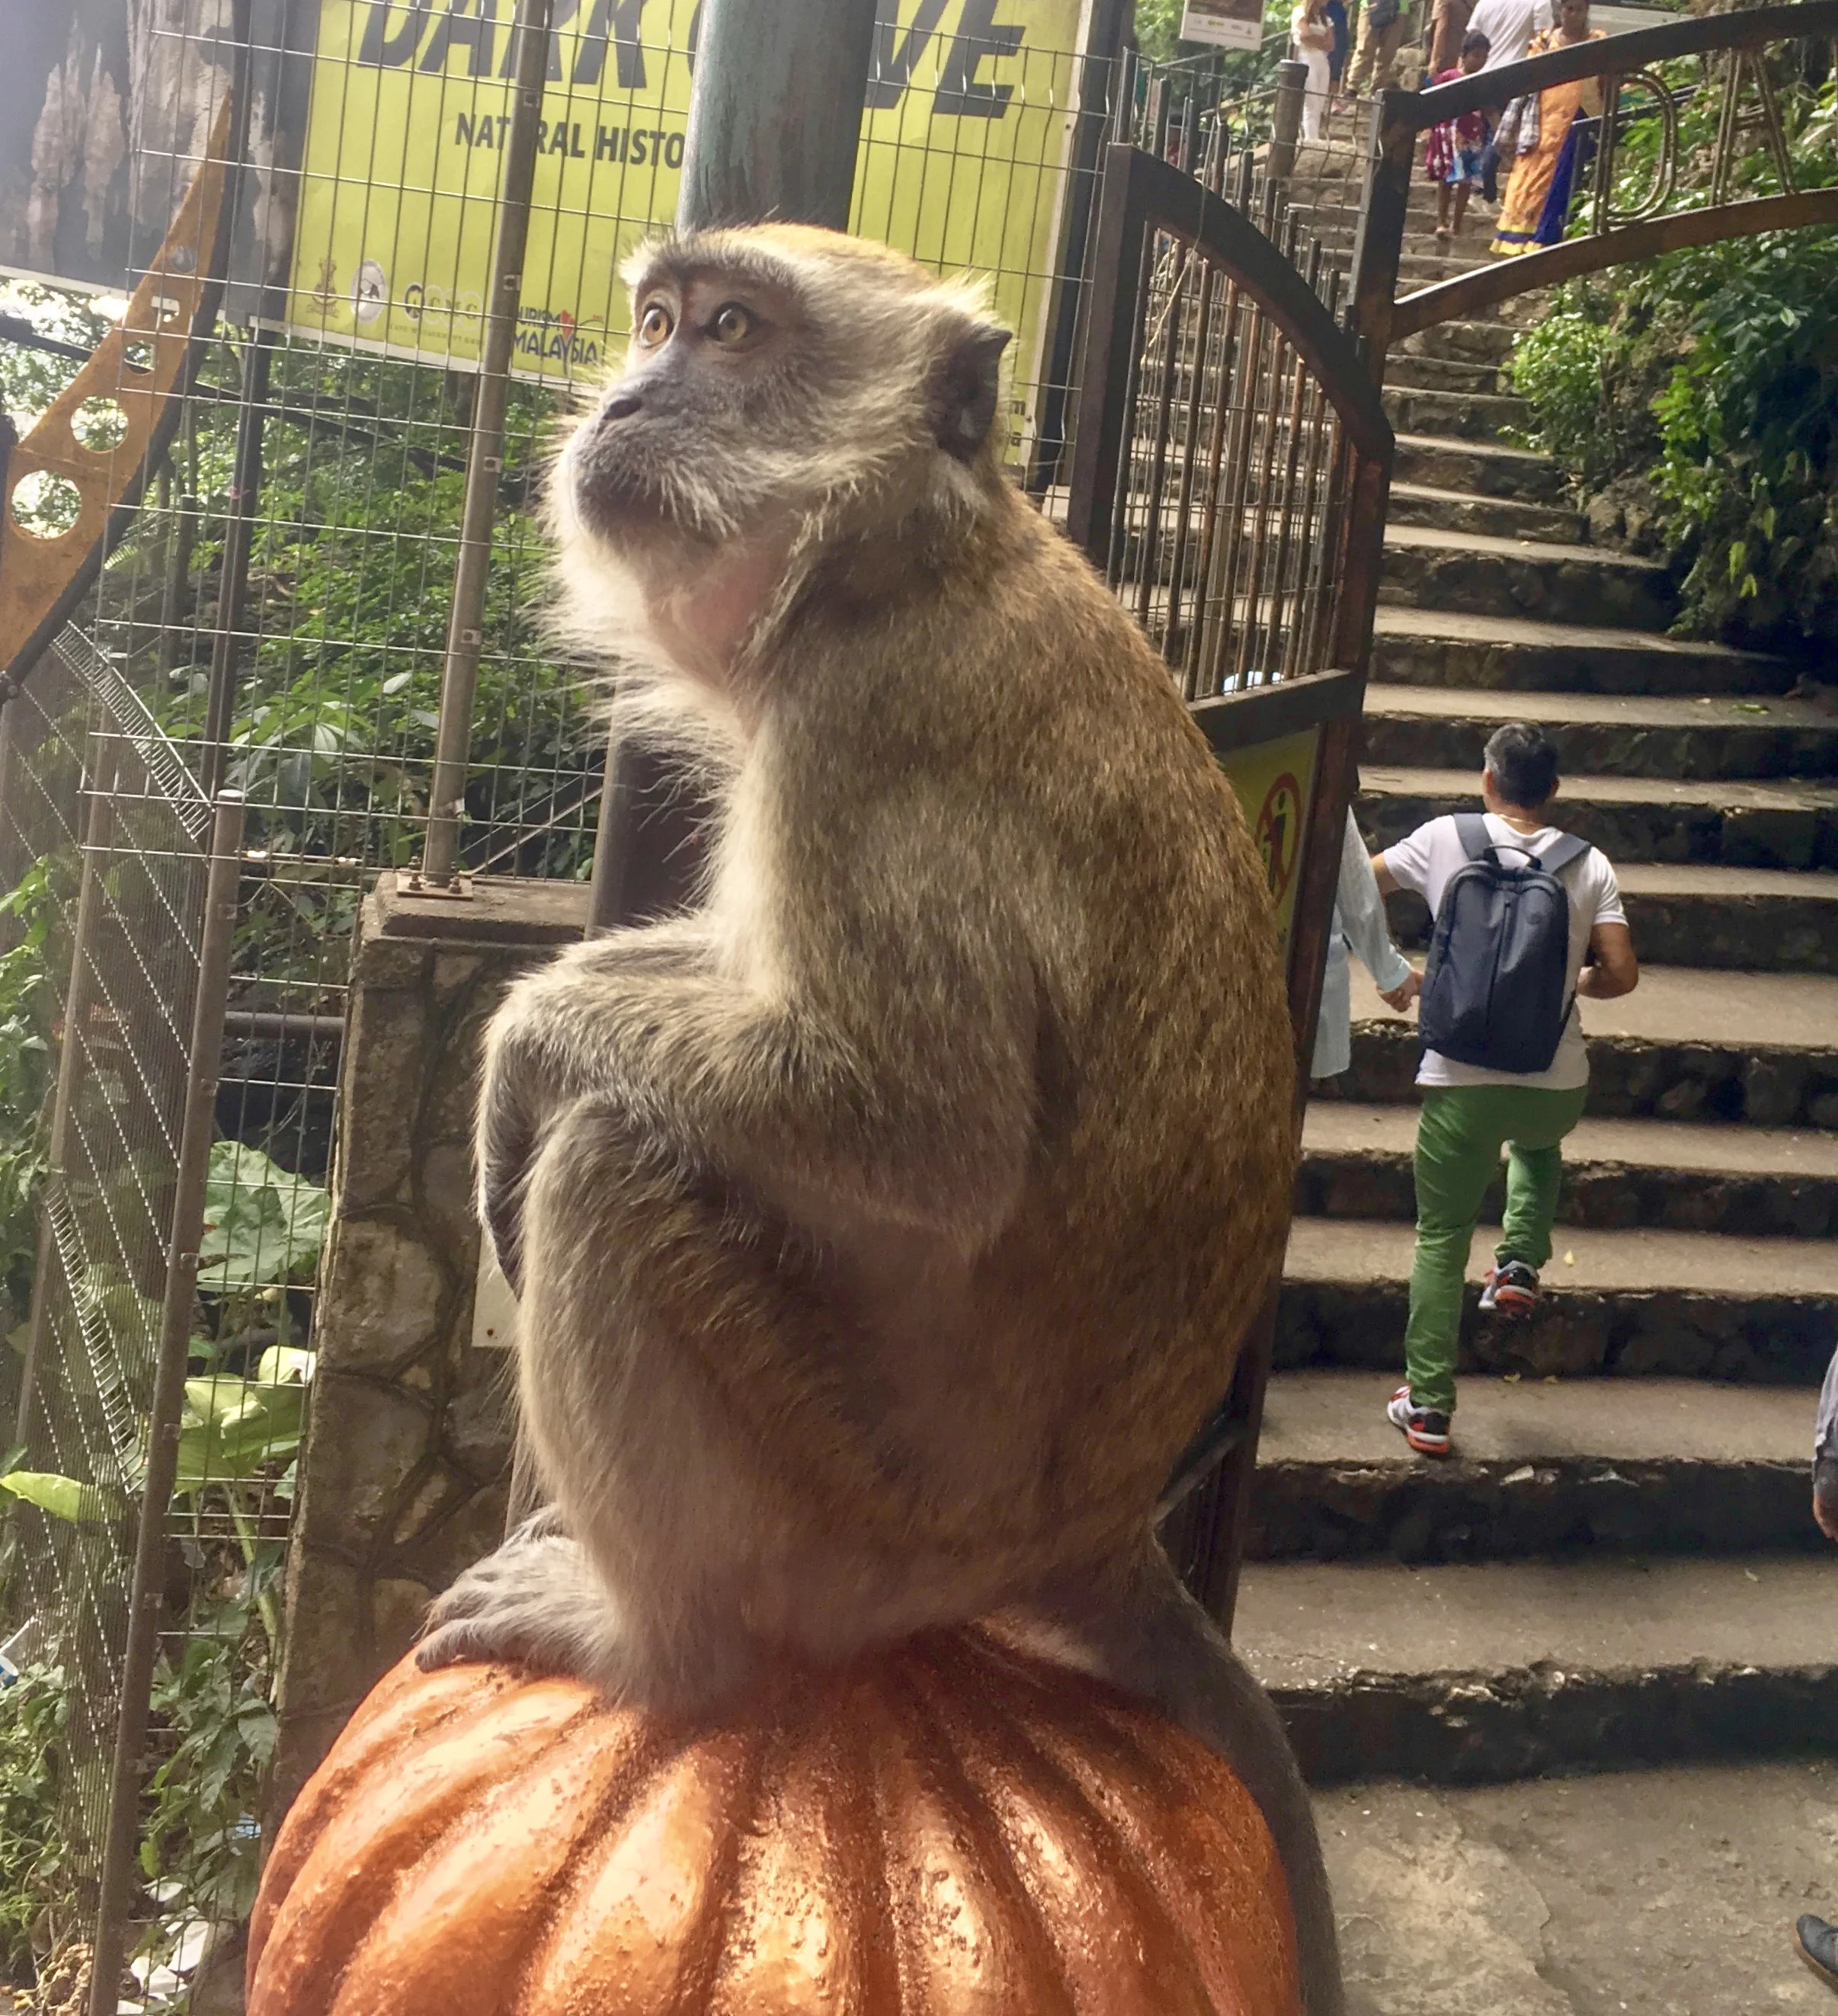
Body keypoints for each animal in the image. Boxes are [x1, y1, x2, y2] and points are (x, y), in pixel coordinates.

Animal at [417, 223, 1340, 2014]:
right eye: (653, 322)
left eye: (729, 332)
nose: (623, 396)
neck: (906, 558)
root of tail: (1084, 1538)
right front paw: (520, 1032)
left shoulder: (864, 736)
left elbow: (921, 1131)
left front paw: (538, 1044)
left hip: (854, 1531)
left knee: (613, 1174)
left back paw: (664, 1649)